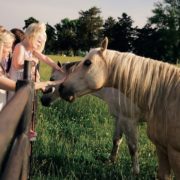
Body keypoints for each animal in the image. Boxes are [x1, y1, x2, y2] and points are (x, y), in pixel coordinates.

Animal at [59, 37, 180, 179]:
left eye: (88, 63)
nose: (61, 88)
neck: (166, 96)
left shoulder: (129, 121)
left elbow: (132, 147)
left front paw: (135, 172)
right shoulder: (160, 148)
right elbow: (116, 140)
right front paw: (111, 161)